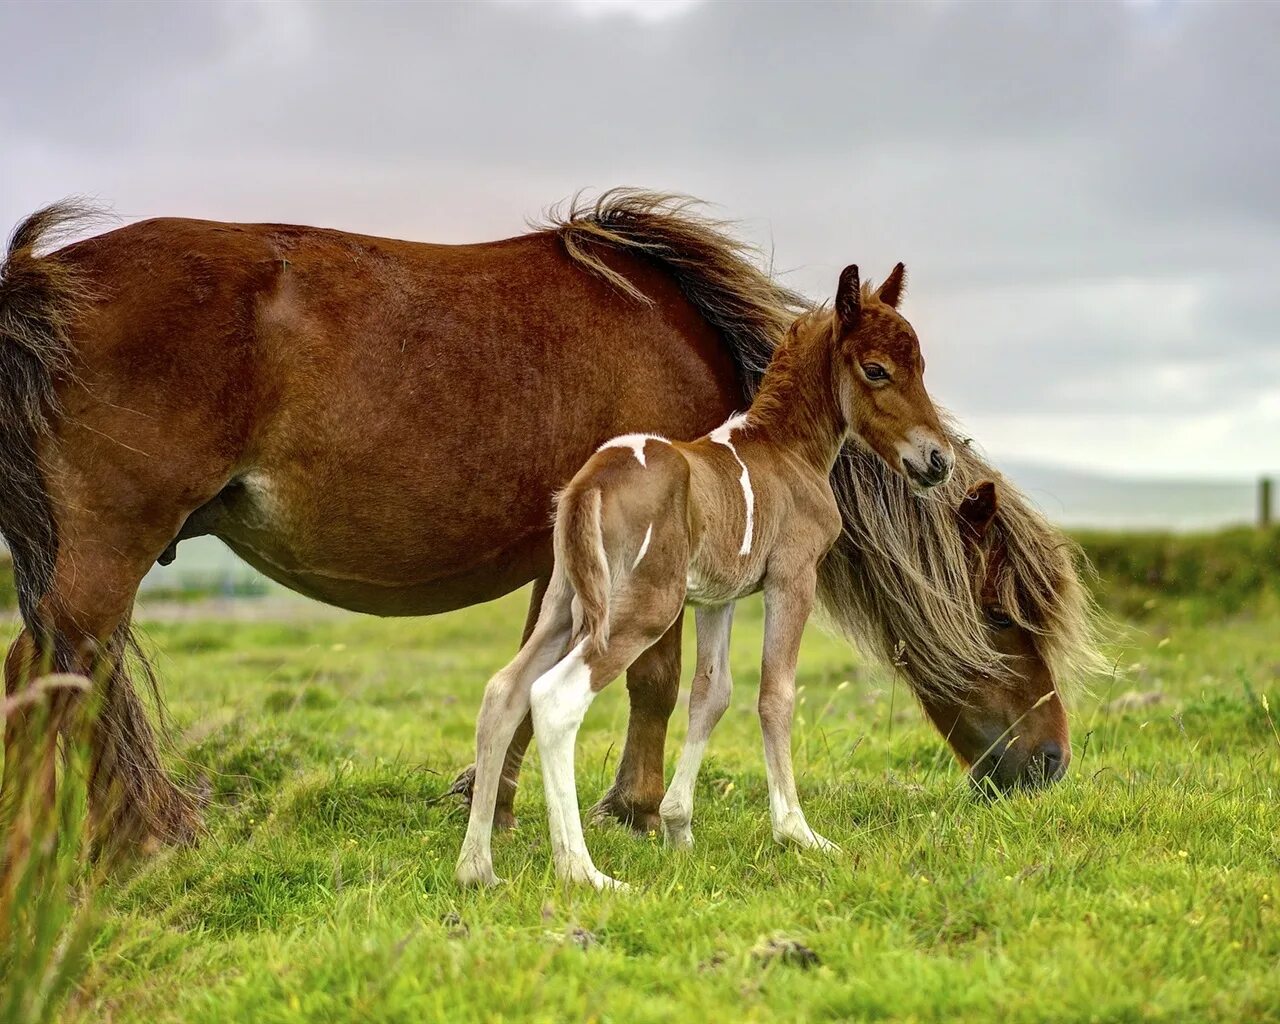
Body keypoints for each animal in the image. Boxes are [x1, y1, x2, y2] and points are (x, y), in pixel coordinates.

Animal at [458, 263, 952, 885]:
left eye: (921, 366)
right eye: (876, 369)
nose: (938, 461)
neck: (786, 450)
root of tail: (591, 481)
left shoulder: (719, 598)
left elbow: (711, 694)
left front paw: (678, 828)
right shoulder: (793, 578)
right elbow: (775, 695)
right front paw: (800, 833)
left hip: (565, 602)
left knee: (504, 691)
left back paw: (477, 868)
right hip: (642, 609)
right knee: (554, 698)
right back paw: (583, 872)